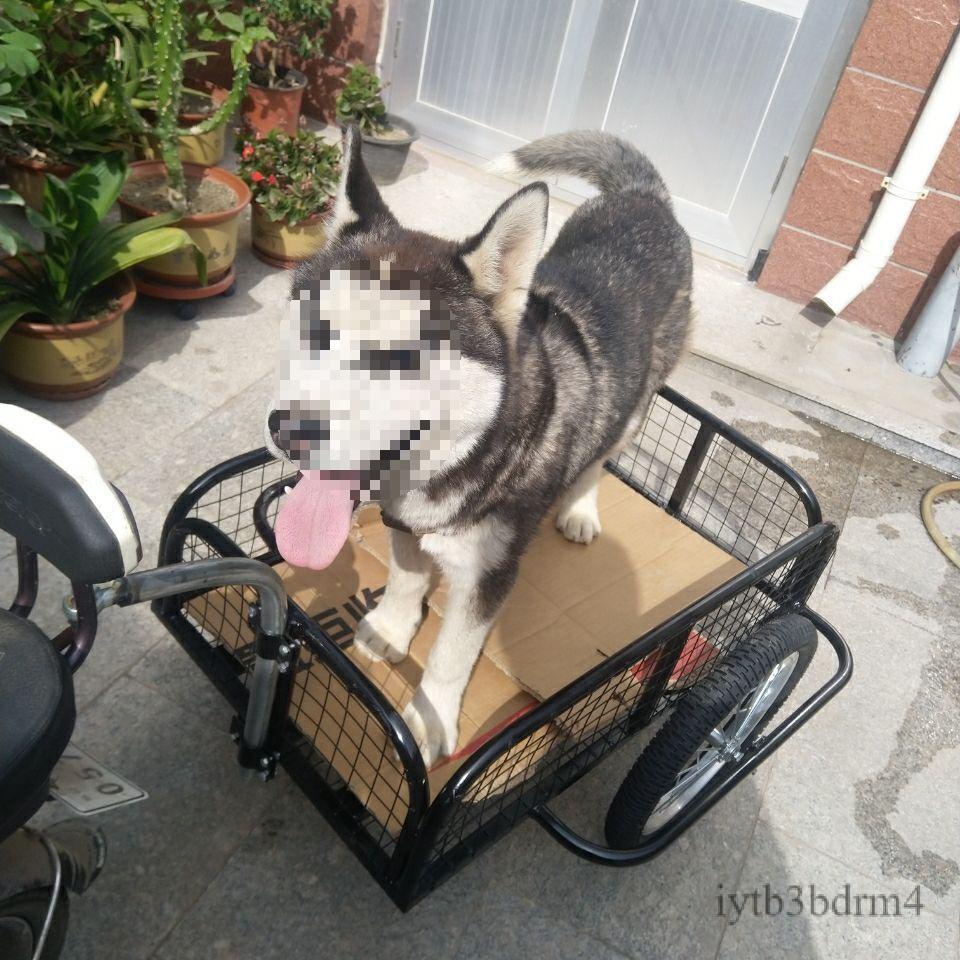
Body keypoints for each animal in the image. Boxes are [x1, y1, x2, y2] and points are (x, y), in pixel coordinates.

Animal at [266, 125, 692, 764]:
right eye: (316, 328)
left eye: (402, 359)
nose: (288, 431)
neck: (465, 457)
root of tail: (646, 199)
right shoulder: (404, 520)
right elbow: (407, 576)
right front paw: (391, 628)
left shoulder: (488, 571)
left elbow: (451, 654)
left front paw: (430, 721)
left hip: (639, 400)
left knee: (602, 452)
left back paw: (580, 507)